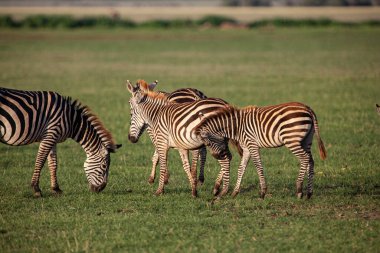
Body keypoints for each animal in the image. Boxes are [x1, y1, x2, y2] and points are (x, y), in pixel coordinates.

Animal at [196, 102, 326, 199]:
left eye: (207, 143)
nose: (218, 156)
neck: (237, 127)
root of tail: (308, 108)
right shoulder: (246, 148)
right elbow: (241, 168)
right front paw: (235, 192)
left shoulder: (252, 145)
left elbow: (258, 166)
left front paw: (263, 192)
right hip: (306, 140)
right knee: (310, 160)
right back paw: (309, 193)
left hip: (291, 140)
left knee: (305, 158)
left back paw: (299, 190)